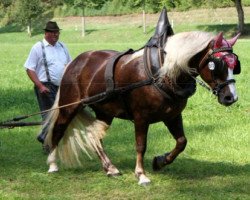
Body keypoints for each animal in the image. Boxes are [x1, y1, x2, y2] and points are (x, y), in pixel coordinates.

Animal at [43, 30, 240, 185]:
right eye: (217, 64)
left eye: (235, 65)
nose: (231, 97)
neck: (162, 74)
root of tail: (76, 61)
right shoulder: (141, 118)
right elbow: (141, 145)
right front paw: (141, 175)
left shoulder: (172, 116)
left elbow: (182, 142)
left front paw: (160, 161)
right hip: (70, 106)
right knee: (59, 130)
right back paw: (52, 163)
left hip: (105, 112)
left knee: (94, 135)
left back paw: (110, 168)